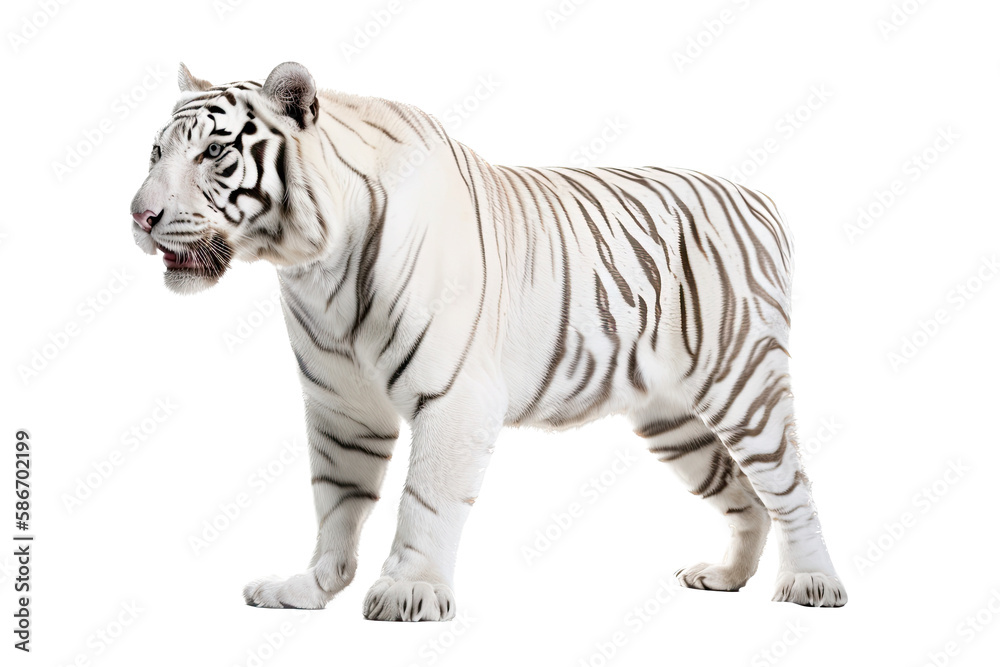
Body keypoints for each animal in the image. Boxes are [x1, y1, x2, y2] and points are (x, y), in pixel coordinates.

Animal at [129, 62, 847, 620]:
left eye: (213, 153)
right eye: (156, 153)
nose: (139, 216)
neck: (313, 263)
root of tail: (758, 197)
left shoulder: (454, 396)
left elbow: (424, 499)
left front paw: (409, 592)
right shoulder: (341, 408)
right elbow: (335, 500)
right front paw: (310, 587)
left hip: (745, 383)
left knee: (791, 484)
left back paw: (813, 582)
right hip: (675, 420)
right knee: (746, 496)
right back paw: (726, 576)